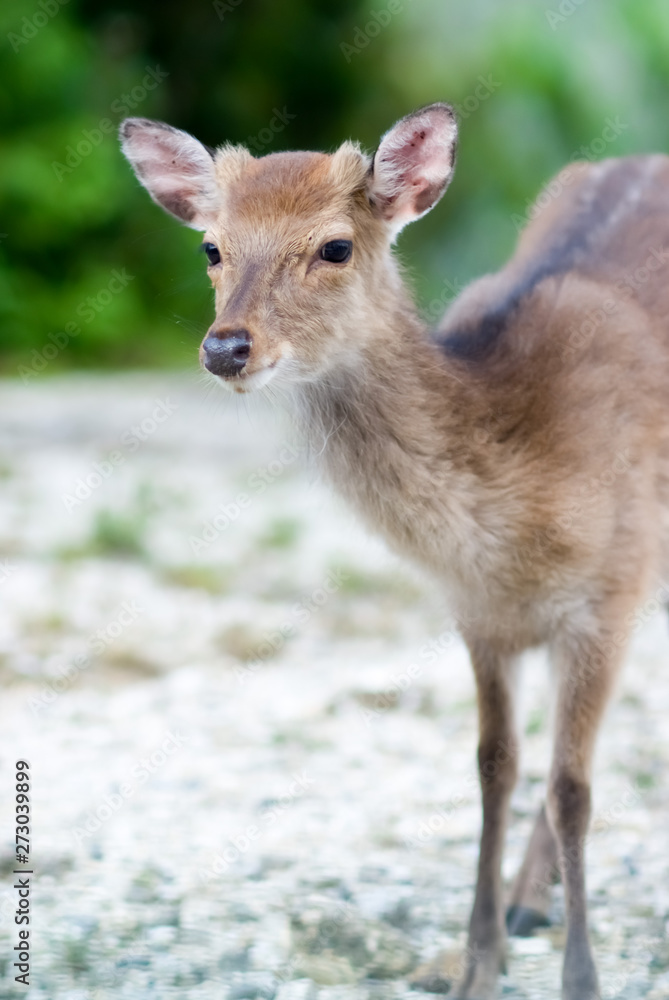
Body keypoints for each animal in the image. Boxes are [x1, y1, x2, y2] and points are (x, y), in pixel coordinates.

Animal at [120, 103, 668, 1000]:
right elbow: (495, 766)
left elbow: (571, 787)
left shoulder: (610, 589)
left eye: (336, 246)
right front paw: (478, 961)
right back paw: (527, 902)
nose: (226, 348)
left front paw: (580, 979)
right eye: (210, 247)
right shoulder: (479, 615)